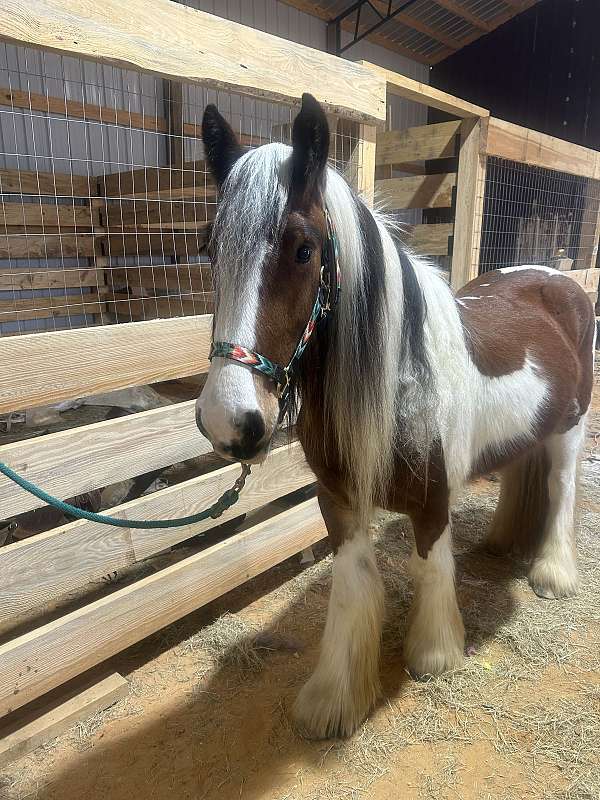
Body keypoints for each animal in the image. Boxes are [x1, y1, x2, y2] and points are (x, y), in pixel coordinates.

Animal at [196, 94, 596, 740]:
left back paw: (553, 574)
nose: (230, 421)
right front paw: (335, 698)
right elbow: (352, 587)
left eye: (304, 249)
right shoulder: (339, 502)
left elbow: (432, 570)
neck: (397, 377)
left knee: (560, 489)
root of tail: (557, 278)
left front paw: (435, 656)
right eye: (210, 247)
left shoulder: (433, 502)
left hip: (571, 426)